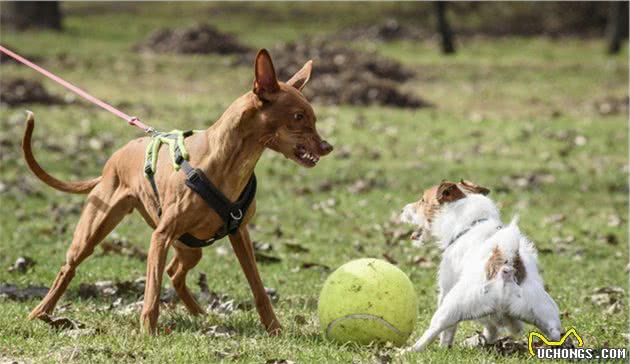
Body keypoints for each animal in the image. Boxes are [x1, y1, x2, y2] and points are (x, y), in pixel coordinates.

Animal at [21, 49, 334, 336]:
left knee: (175, 273)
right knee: (69, 269)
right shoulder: (160, 237)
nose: (327, 147)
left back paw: (199, 313)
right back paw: (40, 313)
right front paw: (148, 333)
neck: (228, 162)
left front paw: (274, 328)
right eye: (298, 116)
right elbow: (151, 292)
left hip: (190, 248)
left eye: (313, 118)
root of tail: (112, 161)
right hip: (94, 232)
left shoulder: (240, 234)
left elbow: (258, 288)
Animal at [400, 181, 564, 352]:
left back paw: (409, 351)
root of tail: (505, 269)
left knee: (433, 331)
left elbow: (448, 333)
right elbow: (490, 329)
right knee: (552, 332)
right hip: (544, 313)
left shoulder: (446, 287)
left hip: (451, 307)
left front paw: (444, 348)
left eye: (423, 200)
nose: (402, 209)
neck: (471, 224)